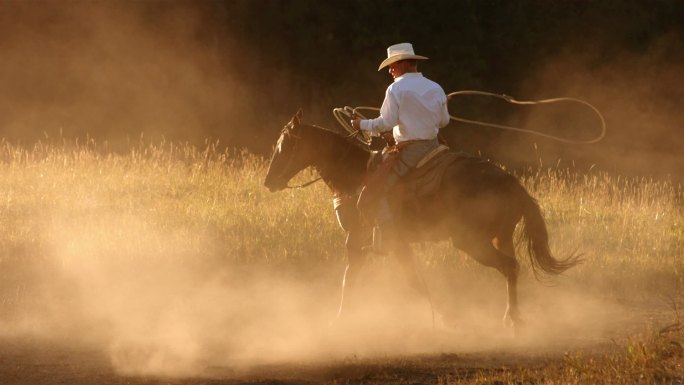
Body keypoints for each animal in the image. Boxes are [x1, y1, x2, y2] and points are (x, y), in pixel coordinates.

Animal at [264, 109, 584, 332]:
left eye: (285, 145)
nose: (269, 181)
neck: (356, 175)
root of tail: (514, 185)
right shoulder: (381, 243)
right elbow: (356, 278)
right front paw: (340, 320)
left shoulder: (362, 240)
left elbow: (401, 280)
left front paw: (448, 316)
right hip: (501, 236)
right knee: (511, 268)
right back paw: (514, 317)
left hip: (472, 242)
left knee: (509, 267)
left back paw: (512, 319)